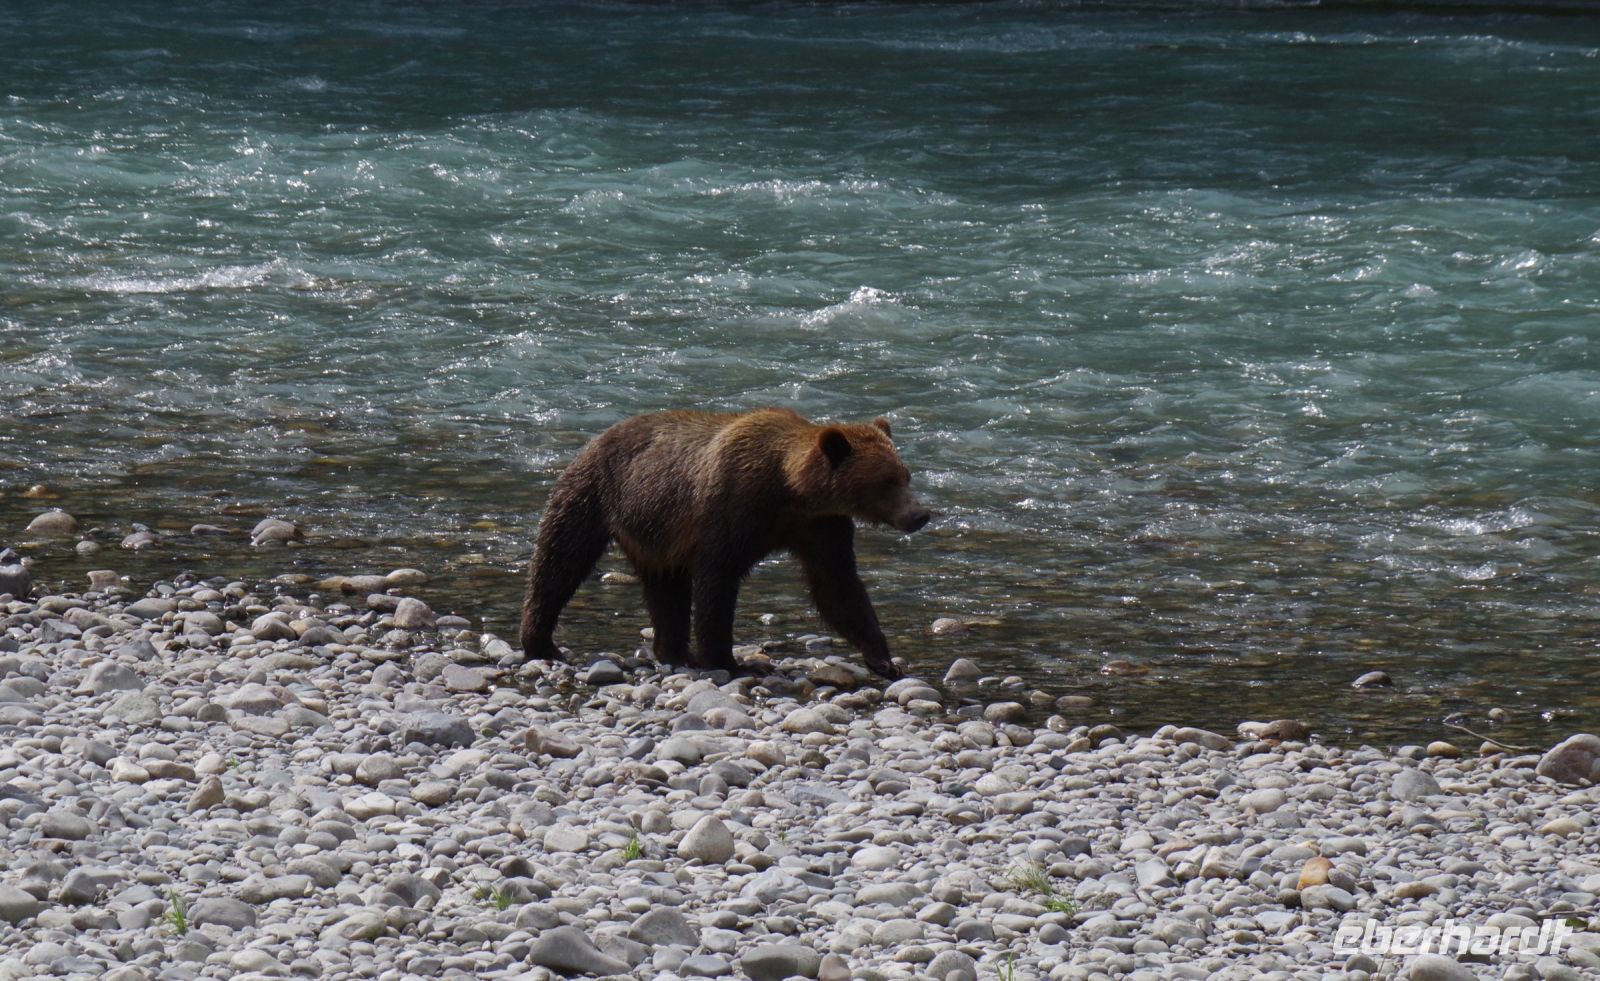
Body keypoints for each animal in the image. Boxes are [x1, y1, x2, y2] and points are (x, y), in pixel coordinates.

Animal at [519, 408, 932, 679]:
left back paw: (674, 651)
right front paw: (728, 659)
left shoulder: (820, 526)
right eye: (886, 481)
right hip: (595, 493)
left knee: (666, 588)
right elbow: (718, 577)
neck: (790, 489)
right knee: (560, 560)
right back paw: (541, 642)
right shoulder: (734, 506)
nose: (920, 514)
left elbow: (837, 584)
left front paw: (882, 657)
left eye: (905, 474)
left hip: (656, 530)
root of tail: (596, 436)